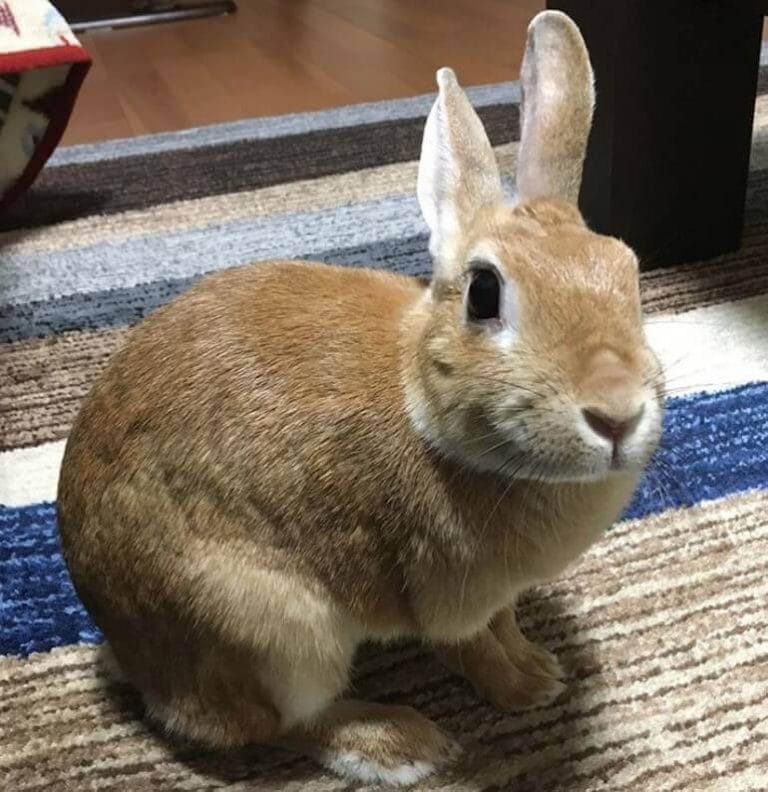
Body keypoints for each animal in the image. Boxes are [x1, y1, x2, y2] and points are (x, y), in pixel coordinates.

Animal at [57, 10, 664, 787]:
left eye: (630, 274)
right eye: (484, 293)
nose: (616, 412)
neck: (423, 405)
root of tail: (131, 656)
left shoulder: (497, 597)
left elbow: (504, 627)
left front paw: (538, 665)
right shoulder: (450, 596)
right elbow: (471, 647)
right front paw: (526, 689)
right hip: (276, 633)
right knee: (273, 727)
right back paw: (398, 742)